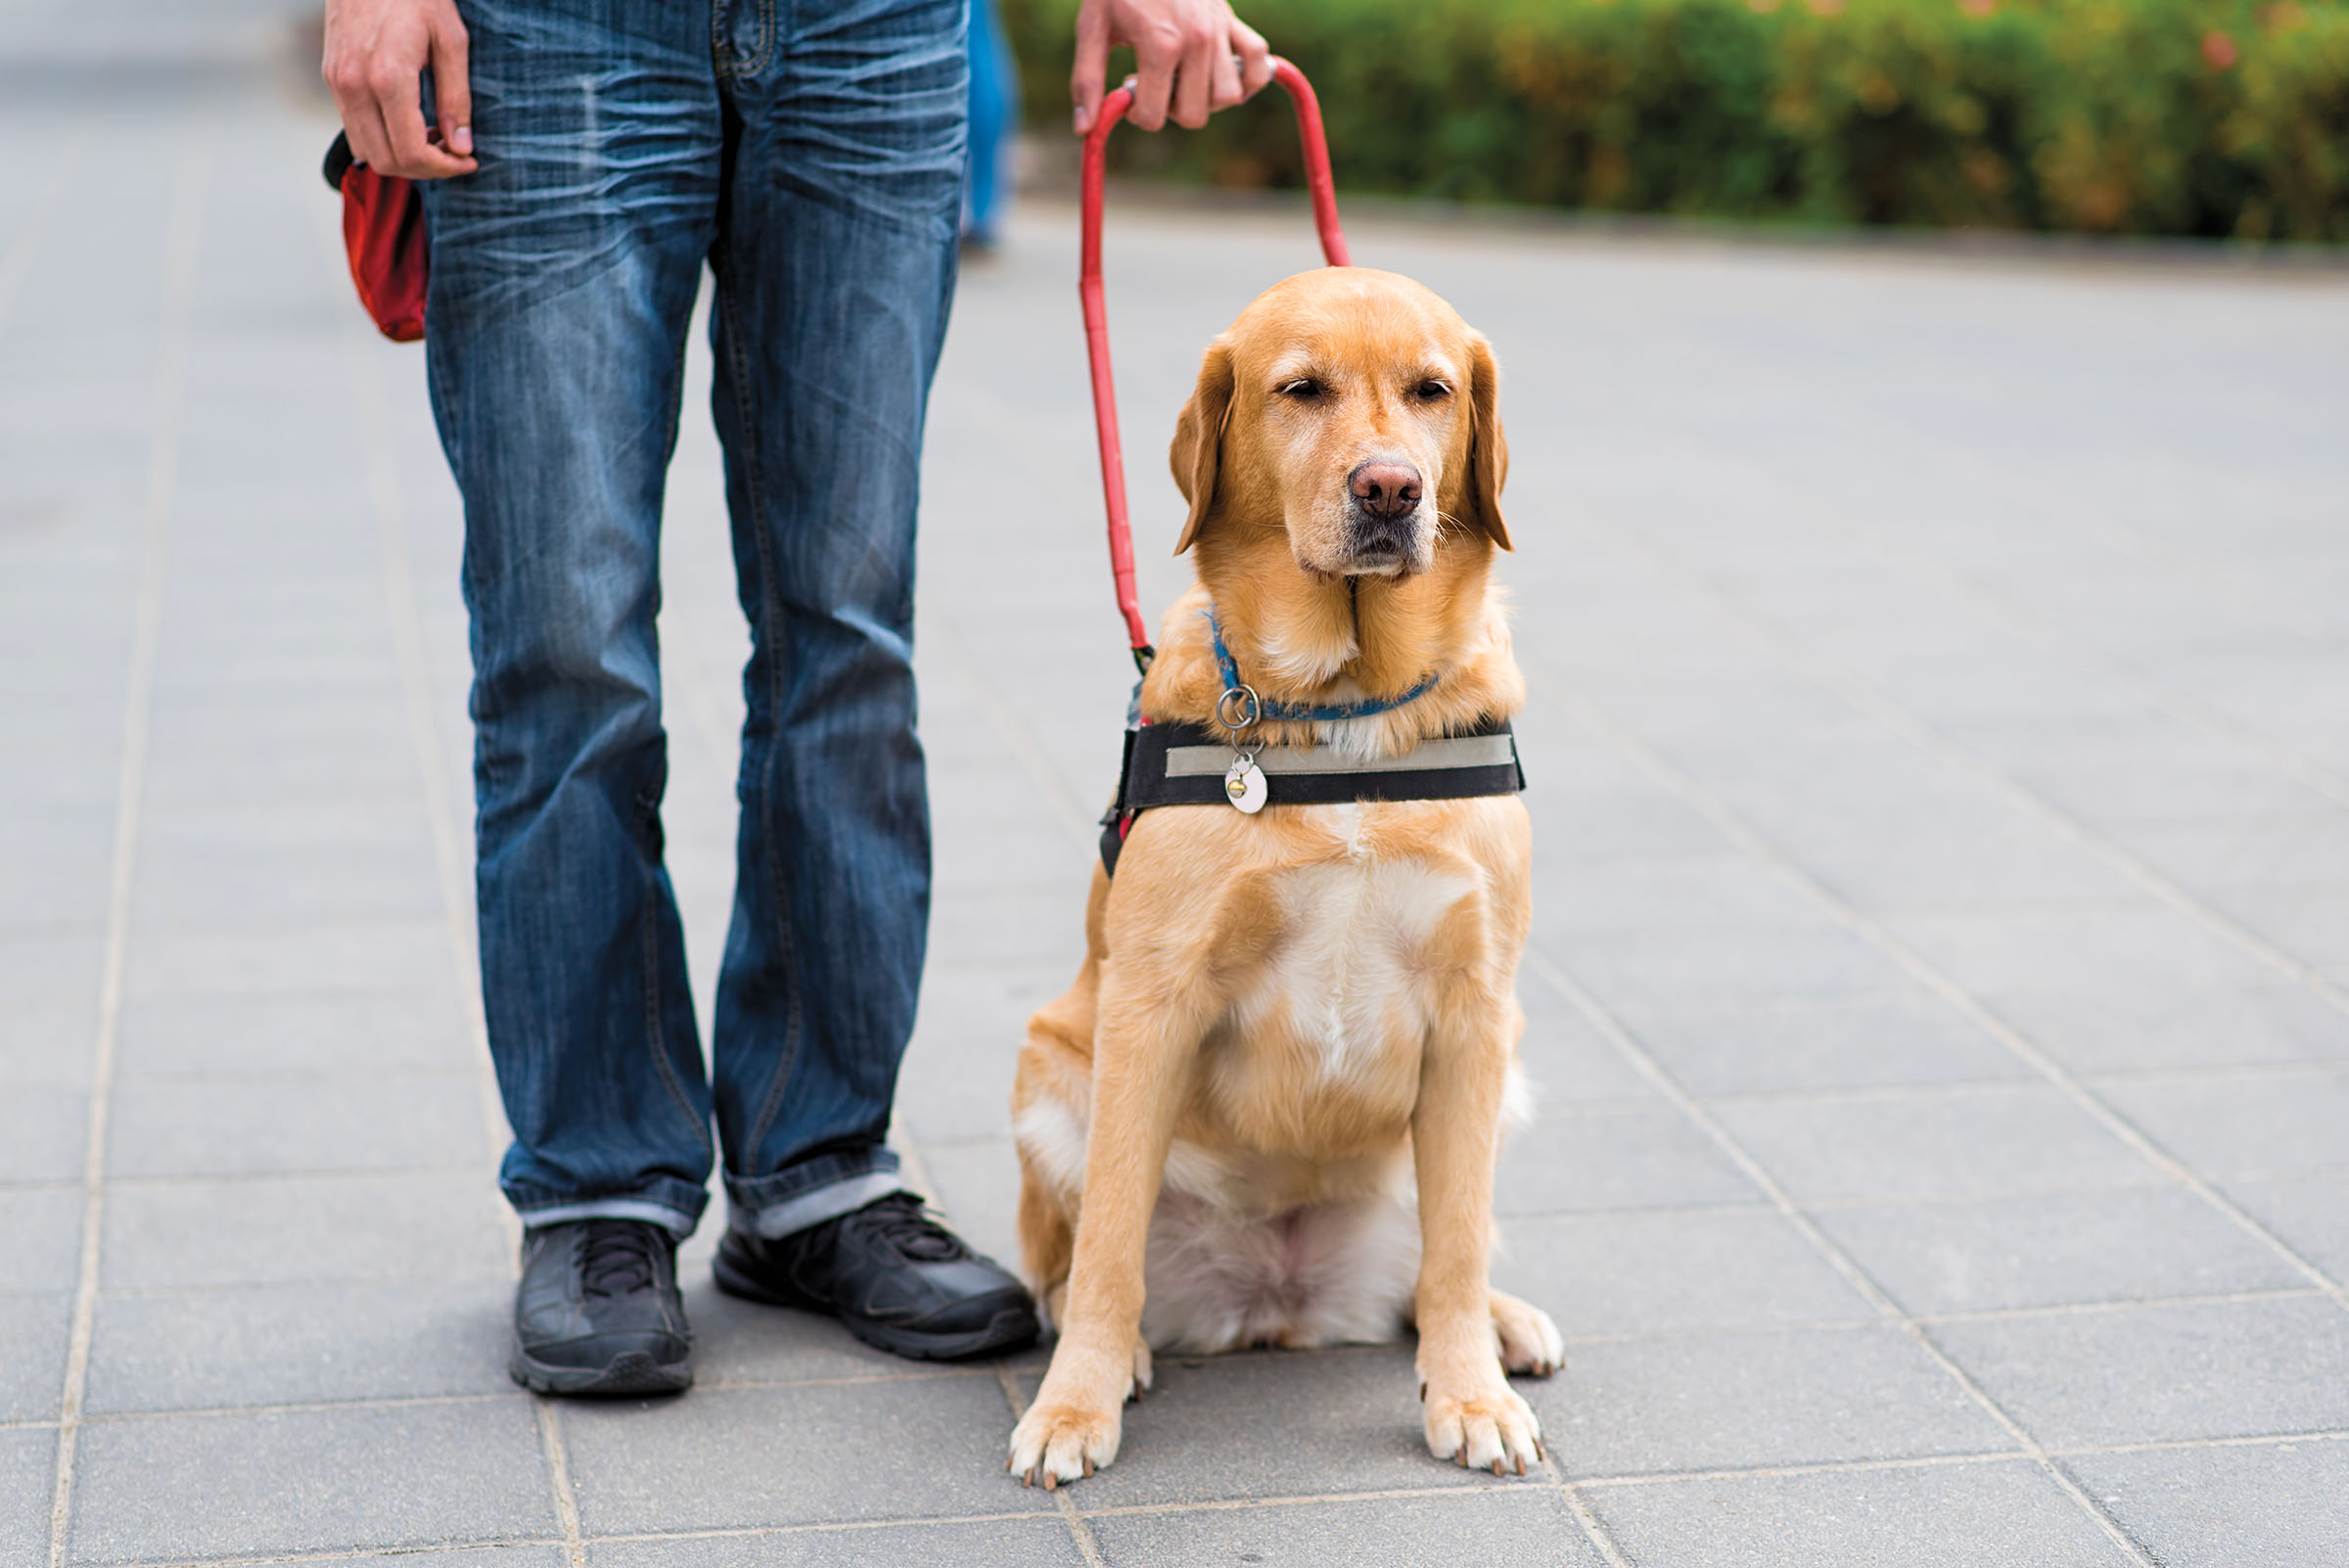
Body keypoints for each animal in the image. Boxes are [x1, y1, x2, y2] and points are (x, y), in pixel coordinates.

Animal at [1005, 266, 1559, 1483]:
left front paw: (1470, 1393)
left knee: (1437, 1259)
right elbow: (1109, 1243)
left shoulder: (1476, 1007)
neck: (1348, 708)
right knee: (1070, 1267)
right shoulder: (1150, 1005)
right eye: (1300, 390)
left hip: (1505, 1078)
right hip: (1052, 1071)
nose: (1391, 488)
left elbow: (1455, 1243)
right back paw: (1117, 1352)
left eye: (1432, 391)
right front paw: (1074, 1406)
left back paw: (1502, 1325)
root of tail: (1277, 1302)